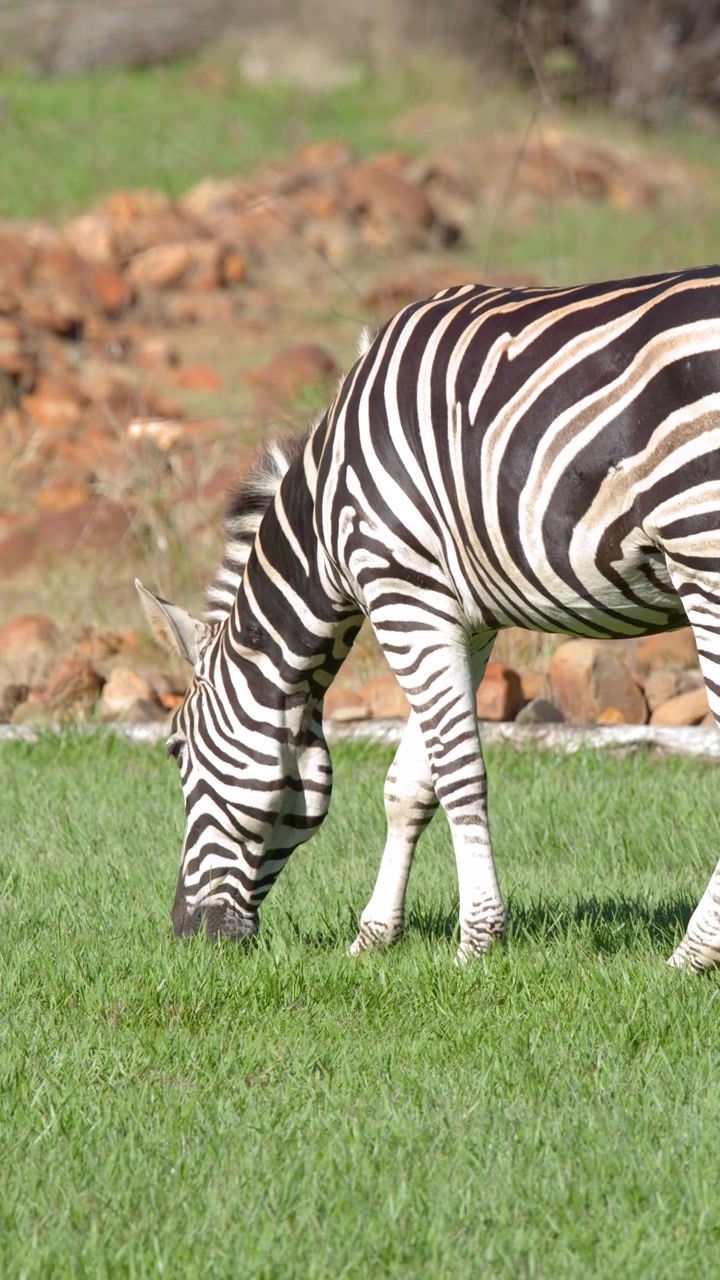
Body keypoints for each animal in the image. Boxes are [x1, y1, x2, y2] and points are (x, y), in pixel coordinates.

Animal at [138, 265, 720, 971]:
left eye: (175, 749)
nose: (186, 934)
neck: (324, 526)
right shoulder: (461, 619)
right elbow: (409, 784)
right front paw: (374, 937)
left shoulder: (402, 593)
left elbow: (458, 772)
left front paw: (477, 942)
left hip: (702, 547)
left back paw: (693, 954)